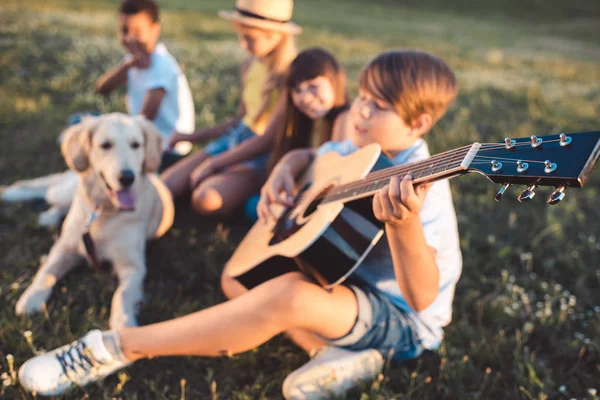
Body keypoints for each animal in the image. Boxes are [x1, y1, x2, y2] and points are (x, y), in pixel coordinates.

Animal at [14, 112, 173, 328]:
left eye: (135, 145)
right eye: (105, 145)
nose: (127, 177)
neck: (103, 211)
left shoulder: (134, 266)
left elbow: (122, 294)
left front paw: (123, 322)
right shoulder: (66, 247)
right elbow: (47, 271)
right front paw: (31, 298)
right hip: (62, 192)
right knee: (53, 197)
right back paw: (49, 216)